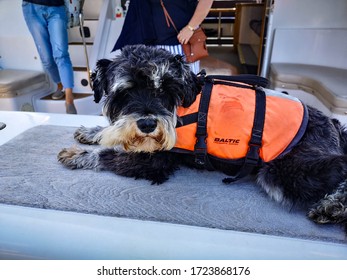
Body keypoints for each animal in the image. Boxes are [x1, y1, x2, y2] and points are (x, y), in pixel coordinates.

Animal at [58, 44, 346, 231]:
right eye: (125, 92)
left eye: (164, 90)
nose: (148, 124)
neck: (184, 100)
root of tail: (332, 124)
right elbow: (115, 134)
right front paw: (91, 133)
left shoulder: (154, 161)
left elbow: (109, 155)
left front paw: (78, 154)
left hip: (284, 170)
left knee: (339, 168)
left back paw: (333, 207)